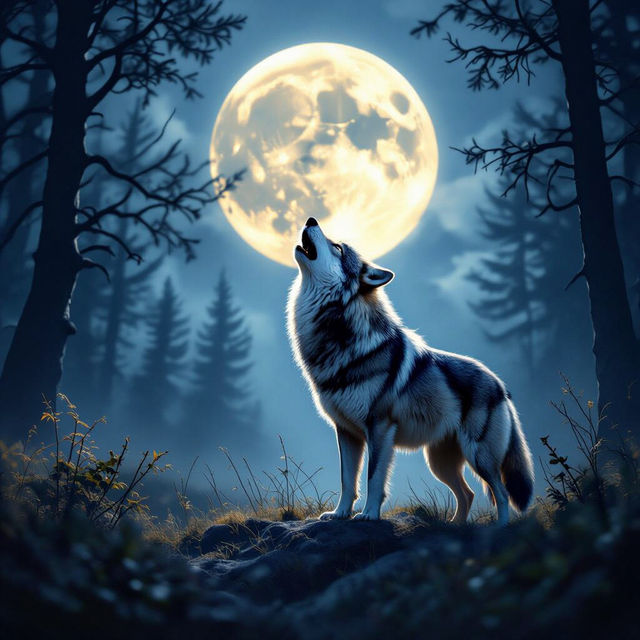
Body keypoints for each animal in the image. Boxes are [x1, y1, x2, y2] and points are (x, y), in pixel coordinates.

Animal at [287, 218, 534, 525]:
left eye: (338, 248)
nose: (311, 220)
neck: (340, 335)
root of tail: (500, 385)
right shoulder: (346, 432)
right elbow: (347, 480)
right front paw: (340, 514)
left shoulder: (379, 428)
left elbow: (373, 478)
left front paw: (368, 515)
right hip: (440, 463)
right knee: (467, 494)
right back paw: (454, 527)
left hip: (479, 457)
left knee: (500, 494)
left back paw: (498, 529)